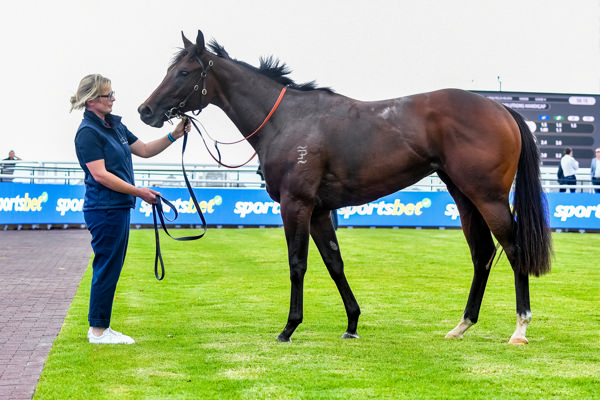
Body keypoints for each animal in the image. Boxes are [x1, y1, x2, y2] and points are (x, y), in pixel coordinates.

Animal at [138, 30, 552, 344]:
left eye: (184, 71)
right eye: (171, 69)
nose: (146, 111)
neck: (287, 120)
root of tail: (501, 108)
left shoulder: (296, 204)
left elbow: (298, 263)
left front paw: (289, 328)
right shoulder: (320, 211)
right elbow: (334, 263)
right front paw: (352, 324)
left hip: (488, 197)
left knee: (514, 248)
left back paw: (520, 328)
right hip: (464, 196)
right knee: (482, 254)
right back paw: (461, 326)